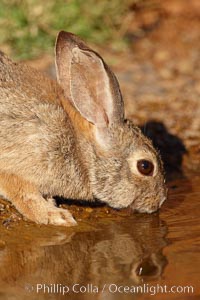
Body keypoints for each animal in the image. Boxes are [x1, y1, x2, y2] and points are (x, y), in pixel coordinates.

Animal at [0, 31, 166, 226]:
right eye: (145, 166)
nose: (160, 201)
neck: (81, 150)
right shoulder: (18, 165)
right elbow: (25, 195)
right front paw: (57, 216)